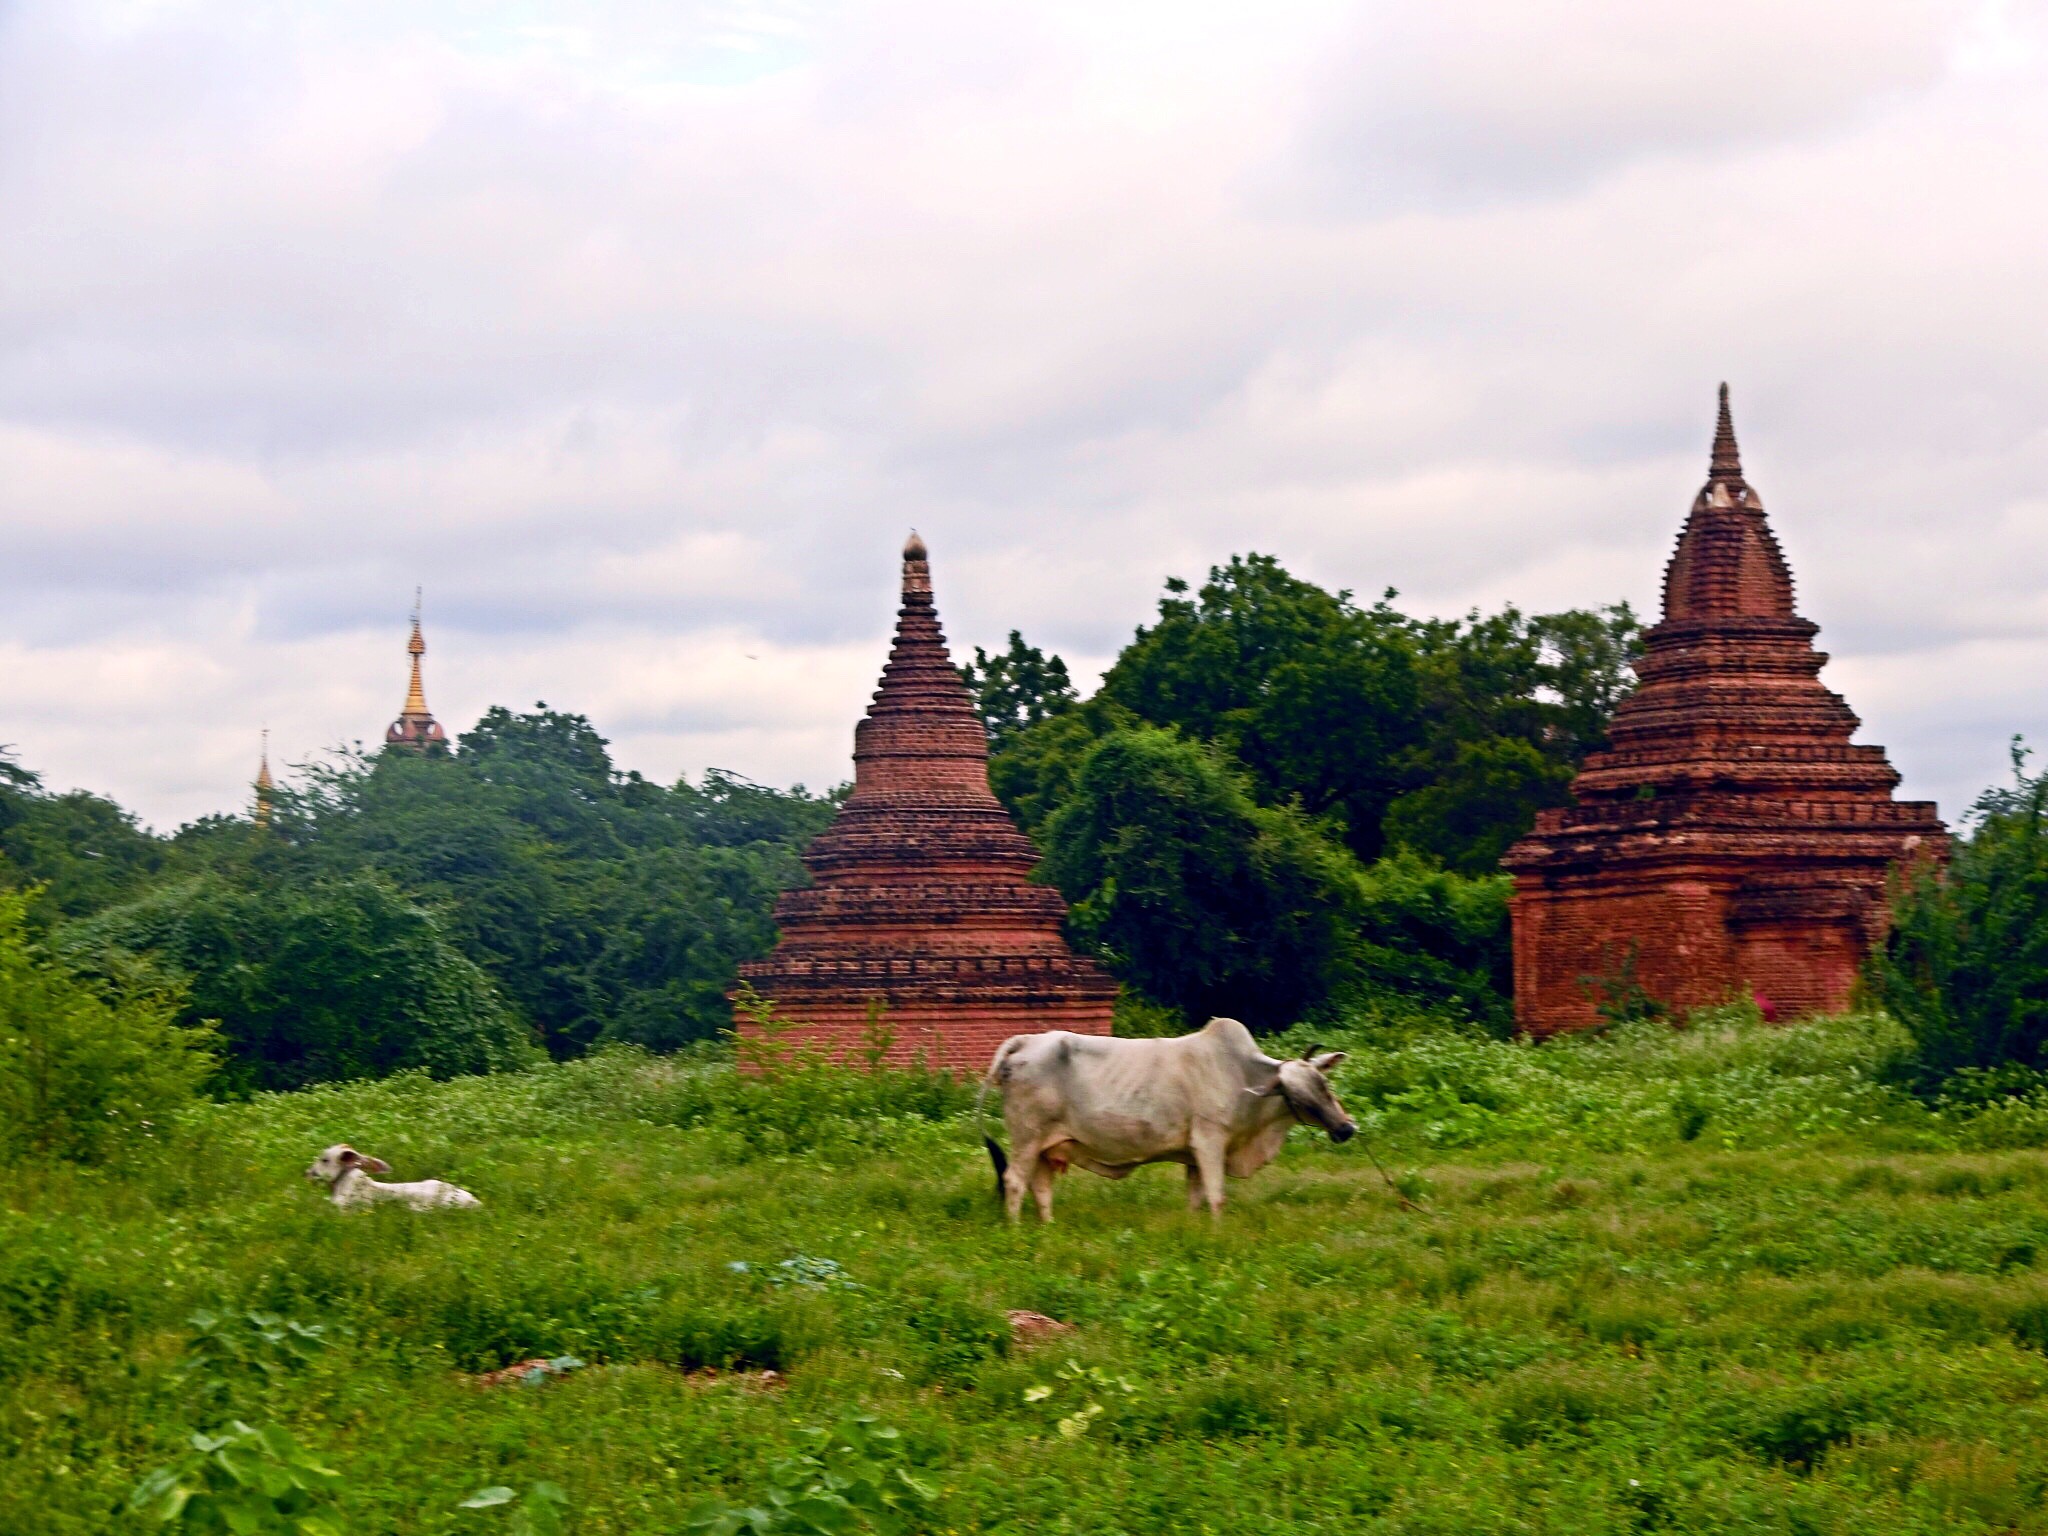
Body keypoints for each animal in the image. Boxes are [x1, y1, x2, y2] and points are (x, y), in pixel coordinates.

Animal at [978, 1024, 1351, 1228]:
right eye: (1296, 1098)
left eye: (1323, 1084)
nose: (1346, 1129)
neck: (1241, 1075)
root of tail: (1026, 1041)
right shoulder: (1210, 1142)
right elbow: (1217, 1197)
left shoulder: (1194, 1156)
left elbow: (1196, 1199)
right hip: (1026, 1138)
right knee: (1013, 1182)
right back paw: (1016, 1232)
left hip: (1046, 1145)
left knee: (1041, 1188)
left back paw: (1048, 1228)